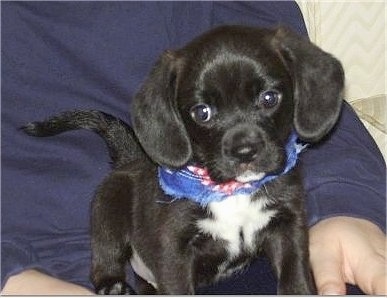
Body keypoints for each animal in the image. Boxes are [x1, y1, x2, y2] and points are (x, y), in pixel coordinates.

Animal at [23, 25, 346, 294]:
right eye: (202, 112)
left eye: (269, 98)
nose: (245, 152)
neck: (232, 191)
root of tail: (130, 158)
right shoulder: (173, 250)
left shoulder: (288, 227)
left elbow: (295, 278)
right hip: (108, 207)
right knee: (105, 254)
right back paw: (112, 285)